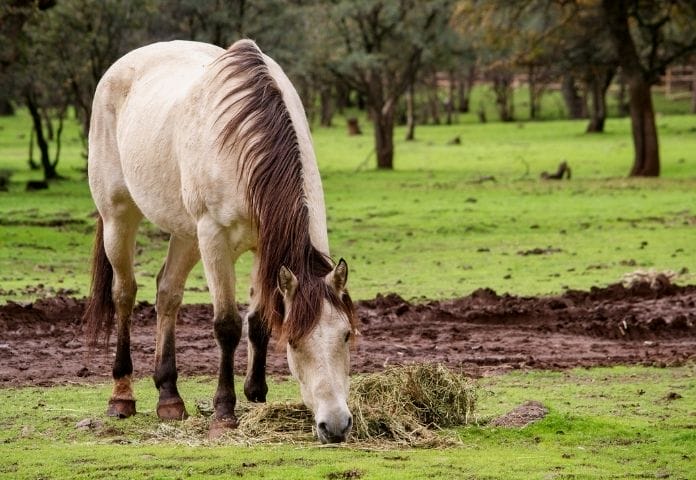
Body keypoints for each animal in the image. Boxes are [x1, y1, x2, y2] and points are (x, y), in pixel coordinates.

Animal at [83, 39, 357, 444]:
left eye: (346, 335)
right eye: (293, 342)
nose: (335, 426)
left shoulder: (264, 248)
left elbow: (258, 320)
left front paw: (257, 396)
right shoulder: (214, 238)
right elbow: (227, 325)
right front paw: (224, 413)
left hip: (186, 233)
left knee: (168, 292)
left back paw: (170, 397)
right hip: (120, 216)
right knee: (124, 294)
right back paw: (122, 396)